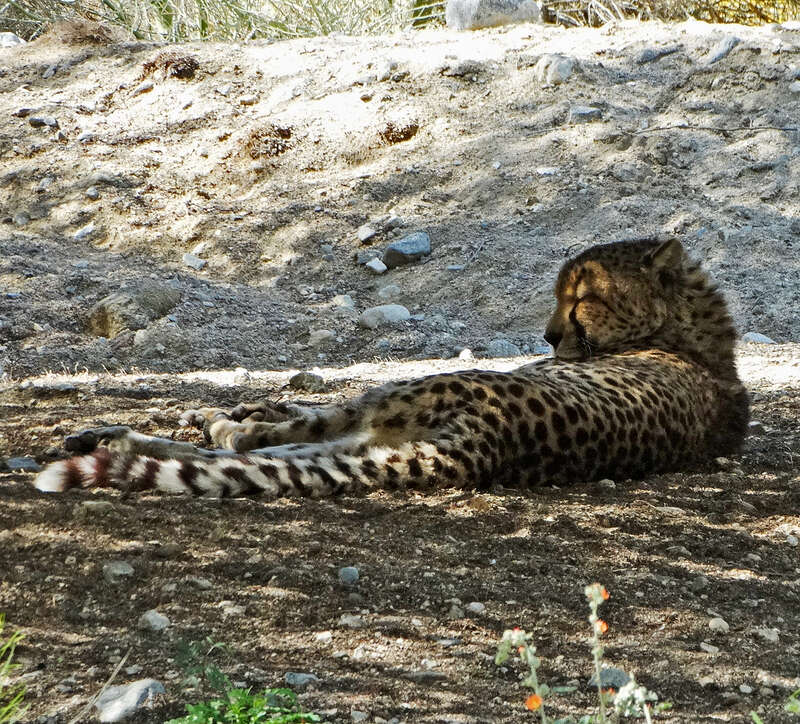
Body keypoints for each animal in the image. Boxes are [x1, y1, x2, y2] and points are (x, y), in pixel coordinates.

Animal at [33, 237, 750, 499]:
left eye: (581, 299)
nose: (548, 338)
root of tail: (492, 448)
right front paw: (254, 401)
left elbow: (286, 416)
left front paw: (243, 410)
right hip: (382, 432)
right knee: (266, 454)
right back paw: (109, 437)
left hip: (397, 396)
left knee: (256, 445)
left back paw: (179, 426)